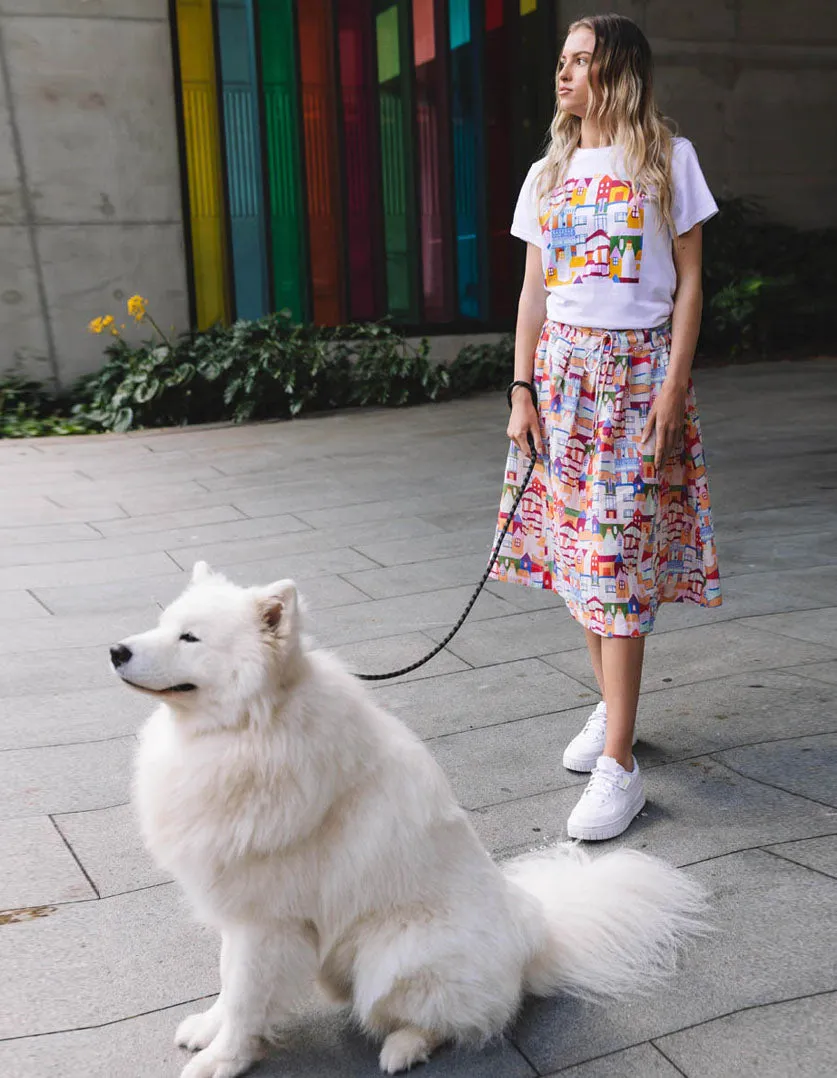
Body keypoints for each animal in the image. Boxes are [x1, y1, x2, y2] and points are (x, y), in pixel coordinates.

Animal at [112, 564, 707, 1078]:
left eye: (190, 638)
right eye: (164, 625)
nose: (116, 649)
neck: (246, 732)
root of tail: (536, 942)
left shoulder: (270, 921)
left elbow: (244, 996)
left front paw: (223, 1060)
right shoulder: (240, 908)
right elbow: (227, 979)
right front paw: (207, 1029)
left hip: (393, 950)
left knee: (458, 1021)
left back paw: (402, 1049)